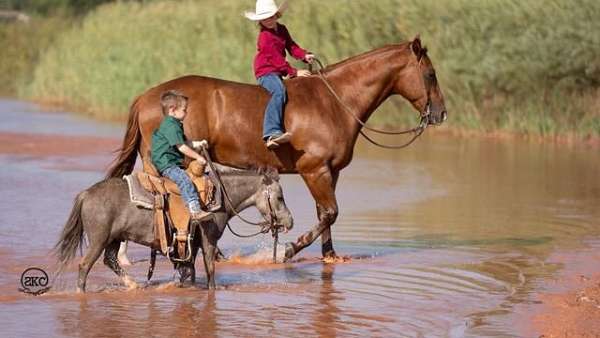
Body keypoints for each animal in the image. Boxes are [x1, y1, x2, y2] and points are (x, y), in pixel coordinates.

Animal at [108, 36, 446, 262]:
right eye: (430, 74)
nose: (441, 114)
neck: (334, 102)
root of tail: (146, 97)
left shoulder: (330, 172)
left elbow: (325, 212)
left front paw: (329, 254)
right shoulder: (314, 170)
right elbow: (331, 212)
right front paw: (290, 249)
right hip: (163, 163)